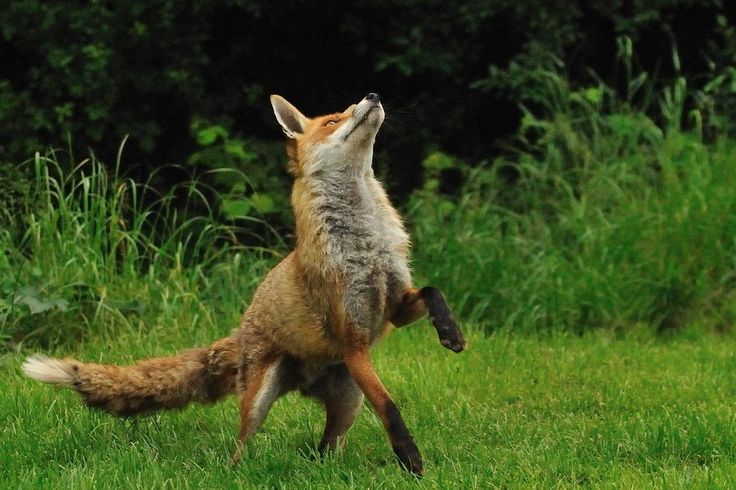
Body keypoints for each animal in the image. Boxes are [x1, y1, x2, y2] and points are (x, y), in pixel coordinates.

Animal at [23, 92, 466, 474]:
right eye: (332, 120)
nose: (372, 96)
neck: (366, 245)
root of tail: (242, 330)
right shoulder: (353, 339)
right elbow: (389, 406)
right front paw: (410, 458)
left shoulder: (394, 305)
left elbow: (433, 291)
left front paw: (451, 333)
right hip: (262, 400)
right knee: (239, 449)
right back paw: (241, 470)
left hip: (348, 401)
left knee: (324, 450)